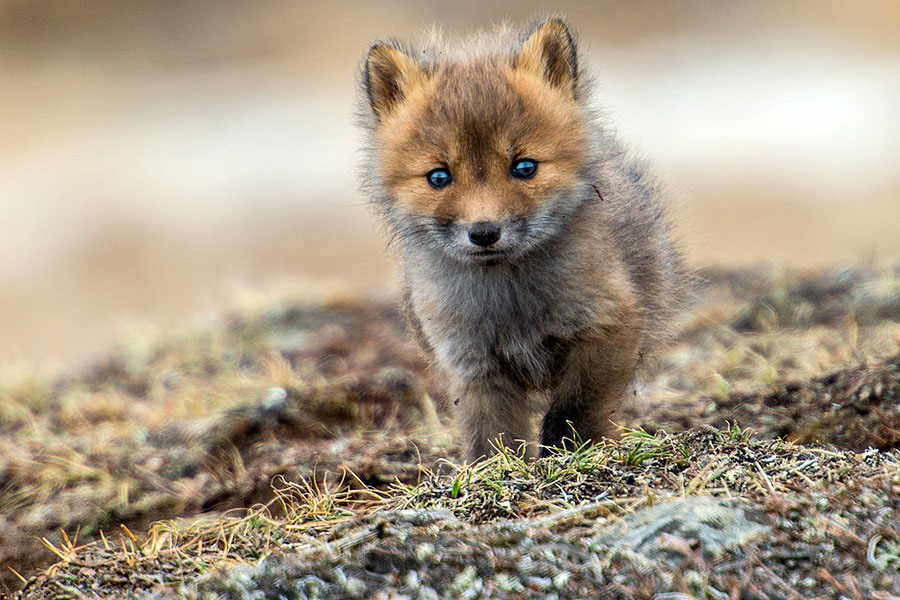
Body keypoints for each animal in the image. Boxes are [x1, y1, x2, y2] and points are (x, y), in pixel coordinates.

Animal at [358, 18, 687, 462]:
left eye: (524, 167)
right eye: (439, 177)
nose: (484, 232)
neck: (511, 302)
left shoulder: (608, 324)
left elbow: (575, 409)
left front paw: (573, 452)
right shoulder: (471, 361)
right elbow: (492, 435)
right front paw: (494, 470)